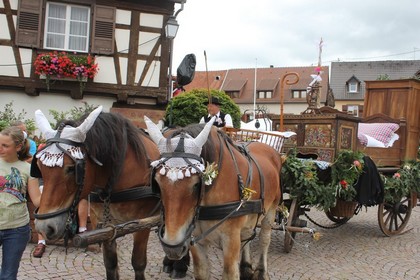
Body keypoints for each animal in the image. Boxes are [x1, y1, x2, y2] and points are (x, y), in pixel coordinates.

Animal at [32, 106, 189, 278]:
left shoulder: (143, 223)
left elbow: (138, 263)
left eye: (72, 168)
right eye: (39, 168)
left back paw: (178, 266)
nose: (44, 227)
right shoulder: (104, 224)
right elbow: (110, 263)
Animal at [144, 116, 282, 280]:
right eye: (157, 182)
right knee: (247, 235)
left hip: (271, 209)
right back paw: (246, 268)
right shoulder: (194, 239)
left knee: (264, 240)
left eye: (196, 184)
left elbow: (230, 273)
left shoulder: (230, 240)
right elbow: (202, 272)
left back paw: (261, 271)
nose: (172, 247)